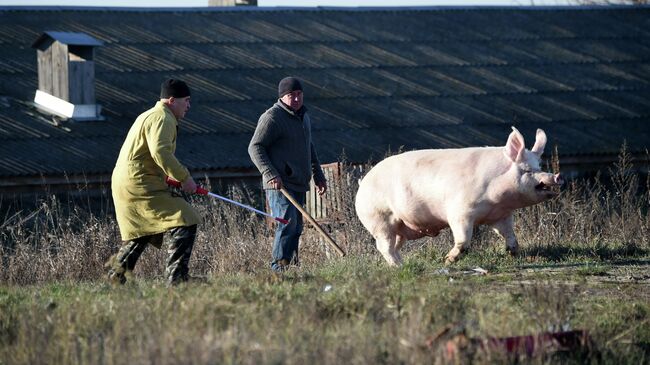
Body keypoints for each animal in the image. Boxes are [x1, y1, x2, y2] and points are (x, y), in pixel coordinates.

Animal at [354, 126, 560, 266]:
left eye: (539, 166)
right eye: (527, 170)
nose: (556, 176)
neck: (498, 201)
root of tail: (362, 184)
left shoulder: (501, 215)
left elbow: (509, 235)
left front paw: (513, 253)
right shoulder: (460, 212)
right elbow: (463, 239)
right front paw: (448, 260)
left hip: (399, 227)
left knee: (394, 247)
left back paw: (402, 264)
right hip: (380, 221)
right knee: (384, 247)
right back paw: (399, 267)